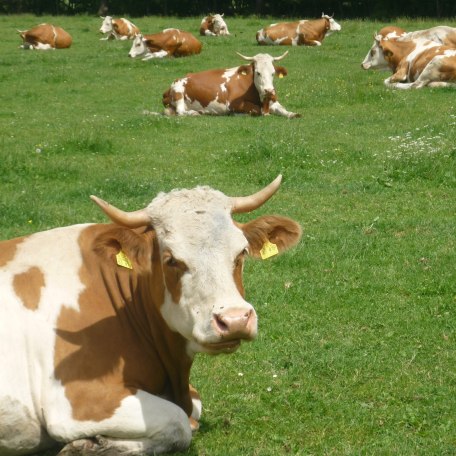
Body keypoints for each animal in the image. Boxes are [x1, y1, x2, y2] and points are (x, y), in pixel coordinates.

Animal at [0, 176, 302, 454]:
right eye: (172, 260)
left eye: (241, 253)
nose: (235, 320)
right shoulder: (77, 402)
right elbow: (179, 423)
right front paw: (92, 445)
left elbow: (194, 409)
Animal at [163, 51, 300, 117]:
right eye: (258, 72)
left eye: (273, 73)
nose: (269, 91)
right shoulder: (233, 104)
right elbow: (256, 110)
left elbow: (282, 109)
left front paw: (292, 114)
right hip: (179, 91)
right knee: (181, 111)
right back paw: (195, 113)